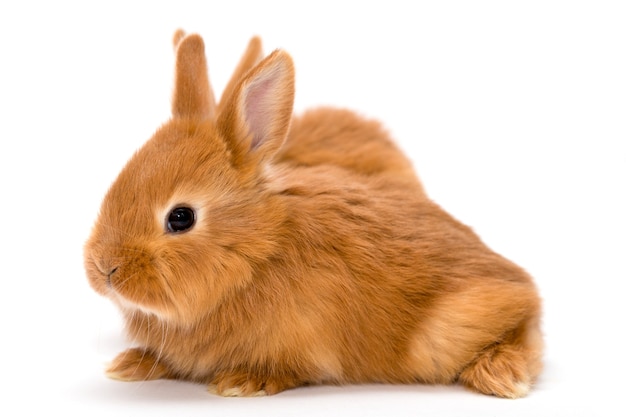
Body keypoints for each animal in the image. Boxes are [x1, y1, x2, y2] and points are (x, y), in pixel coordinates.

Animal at [84, 29, 540, 396]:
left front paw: (244, 382)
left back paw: (502, 374)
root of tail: (521, 283)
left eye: (181, 218)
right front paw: (132, 363)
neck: (257, 257)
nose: (105, 268)